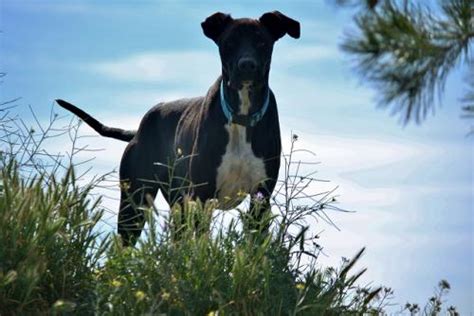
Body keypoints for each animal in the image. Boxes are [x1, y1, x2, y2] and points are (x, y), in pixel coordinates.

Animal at [56, 11, 300, 246]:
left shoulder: (261, 196)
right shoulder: (202, 193)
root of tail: (138, 131)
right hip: (134, 202)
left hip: (176, 202)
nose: (247, 65)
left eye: (261, 42)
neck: (241, 115)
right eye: (229, 42)